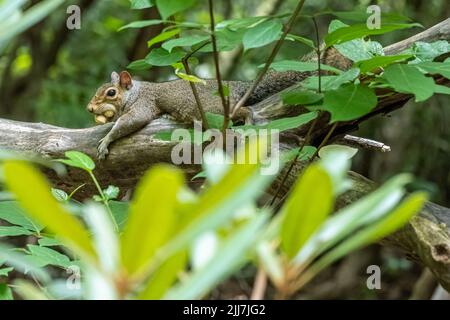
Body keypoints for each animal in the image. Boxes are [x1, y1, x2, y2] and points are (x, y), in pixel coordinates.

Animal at [86, 47, 350, 159]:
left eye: (111, 93)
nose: (90, 108)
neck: (135, 92)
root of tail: (237, 86)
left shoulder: (144, 104)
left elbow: (129, 122)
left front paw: (105, 141)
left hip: (210, 111)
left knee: (241, 110)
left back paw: (248, 118)